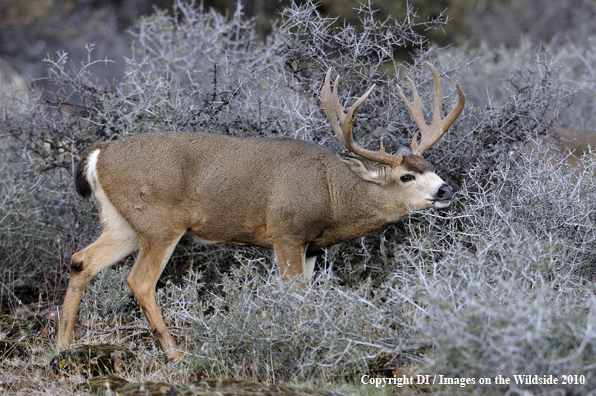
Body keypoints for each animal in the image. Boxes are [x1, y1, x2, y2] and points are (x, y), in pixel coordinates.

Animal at [56, 62, 466, 358]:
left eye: (431, 166)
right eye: (407, 176)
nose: (446, 189)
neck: (331, 194)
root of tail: (98, 154)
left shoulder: (312, 247)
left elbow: (305, 297)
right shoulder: (286, 233)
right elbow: (294, 297)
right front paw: (301, 344)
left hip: (122, 222)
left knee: (81, 261)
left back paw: (61, 346)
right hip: (160, 222)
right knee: (139, 281)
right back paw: (174, 354)